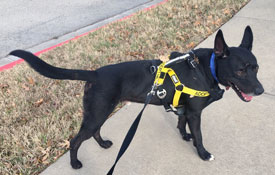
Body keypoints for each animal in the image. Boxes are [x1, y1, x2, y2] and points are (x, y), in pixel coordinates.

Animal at [9, 26, 266, 170]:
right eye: (240, 71)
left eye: (256, 68)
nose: (261, 91)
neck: (206, 68)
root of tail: (94, 73)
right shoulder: (195, 113)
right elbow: (199, 136)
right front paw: (202, 153)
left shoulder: (184, 110)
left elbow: (181, 124)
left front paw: (185, 137)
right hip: (97, 112)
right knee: (75, 141)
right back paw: (74, 164)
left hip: (100, 111)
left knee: (94, 132)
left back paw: (103, 144)